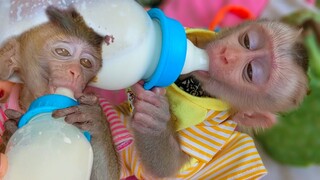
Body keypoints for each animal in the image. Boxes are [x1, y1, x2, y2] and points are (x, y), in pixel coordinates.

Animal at [128, 20, 310, 179]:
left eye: (250, 71)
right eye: (247, 42)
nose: (227, 54)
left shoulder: (217, 125)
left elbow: (172, 169)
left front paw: (154, 122)